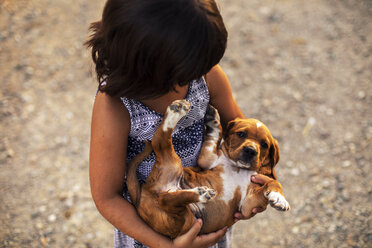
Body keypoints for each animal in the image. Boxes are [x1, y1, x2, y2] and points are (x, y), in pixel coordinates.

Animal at [126, 100, 290, 239]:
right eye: (241, 134)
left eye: (264, 144)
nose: (250, 150)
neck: (238, 168)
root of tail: (143, 195)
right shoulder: (208, 158)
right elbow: (213, 137)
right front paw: (214, 121)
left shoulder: (248, 205)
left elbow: (273, 183)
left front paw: (279, 198)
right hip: (182, 214)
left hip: (182, 212)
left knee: (160, 148)